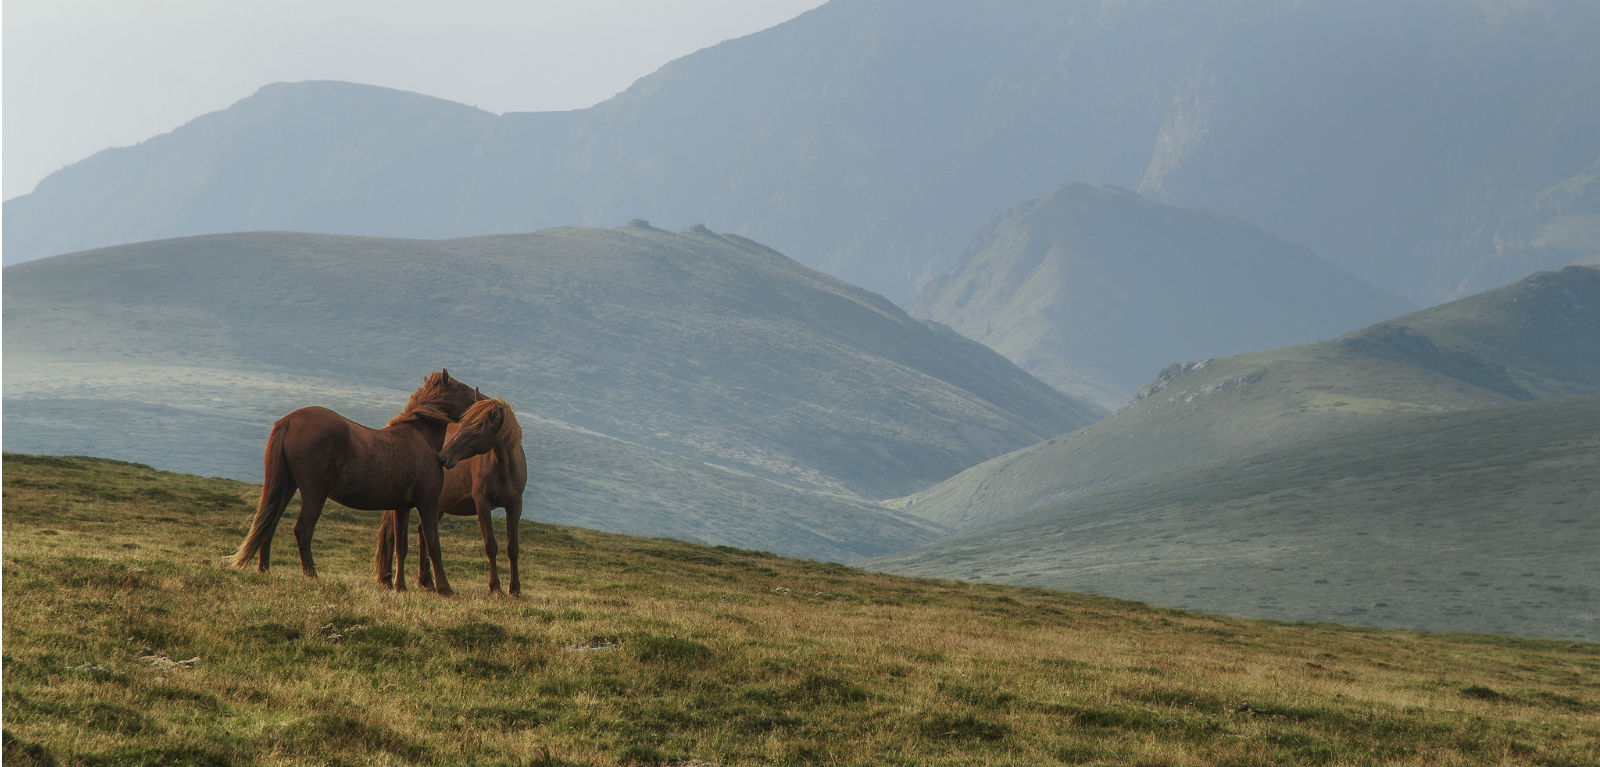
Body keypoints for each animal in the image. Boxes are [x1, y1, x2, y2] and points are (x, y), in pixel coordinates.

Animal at [228, 369, 473, 598]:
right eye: (463, 389)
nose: (480, 399)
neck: (420, 438)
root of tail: (290, 420)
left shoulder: (401, 507)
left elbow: (401, 546)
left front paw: (400, 586)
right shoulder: (428, 503)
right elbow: (433, 544)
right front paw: (444, 588)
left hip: (285, 486)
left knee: (268, 524)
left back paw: (264, 570)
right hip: (314, 493)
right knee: (303, 530)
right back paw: (312, 575)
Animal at [372, 398, 524, 598]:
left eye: (479, 428)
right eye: (464, 423)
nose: (443, 457)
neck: (503, 468)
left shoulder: (515, 506)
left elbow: (513, 548)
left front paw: (515, 589)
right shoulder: (482, 505)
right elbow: (490, 546)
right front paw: (495, 587)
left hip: (437, 507)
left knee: (422, 534)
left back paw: (427, 582)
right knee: (391, 535)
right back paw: (389, 581)